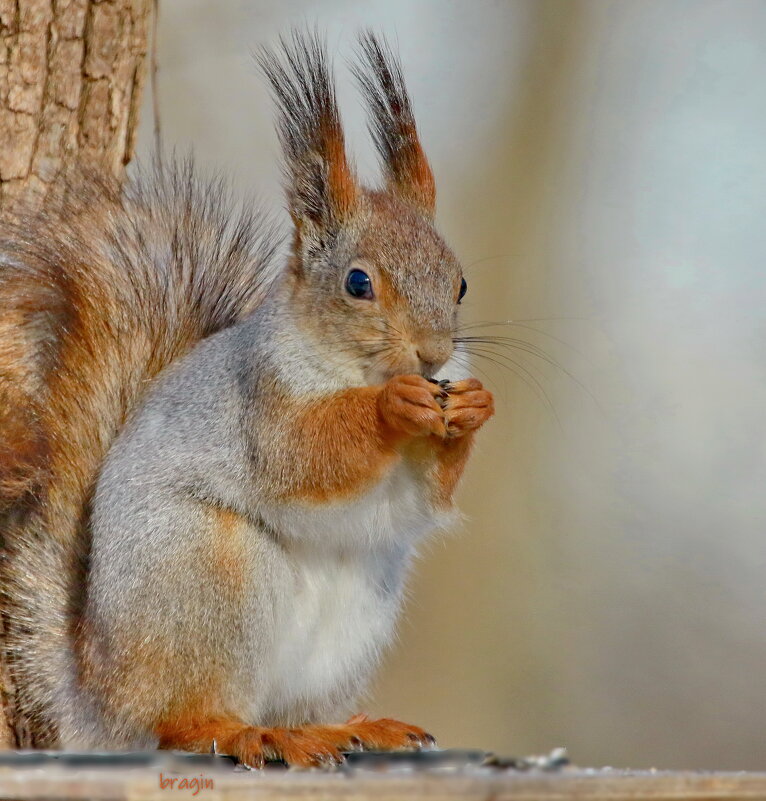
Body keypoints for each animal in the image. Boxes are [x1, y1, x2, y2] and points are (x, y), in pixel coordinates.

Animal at [0, 32, 496, 768]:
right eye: (357, 283)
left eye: (458, 282)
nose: (433, 356)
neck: (352, 368)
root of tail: (103, 695)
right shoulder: (261, 399)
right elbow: (304, 454)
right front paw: (390, 408)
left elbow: (427, 492)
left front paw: (469, 410)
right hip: (212, 575)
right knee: (181, 722)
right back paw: (234, 730)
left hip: (358, 616)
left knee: (297, 710)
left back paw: (341, 727)